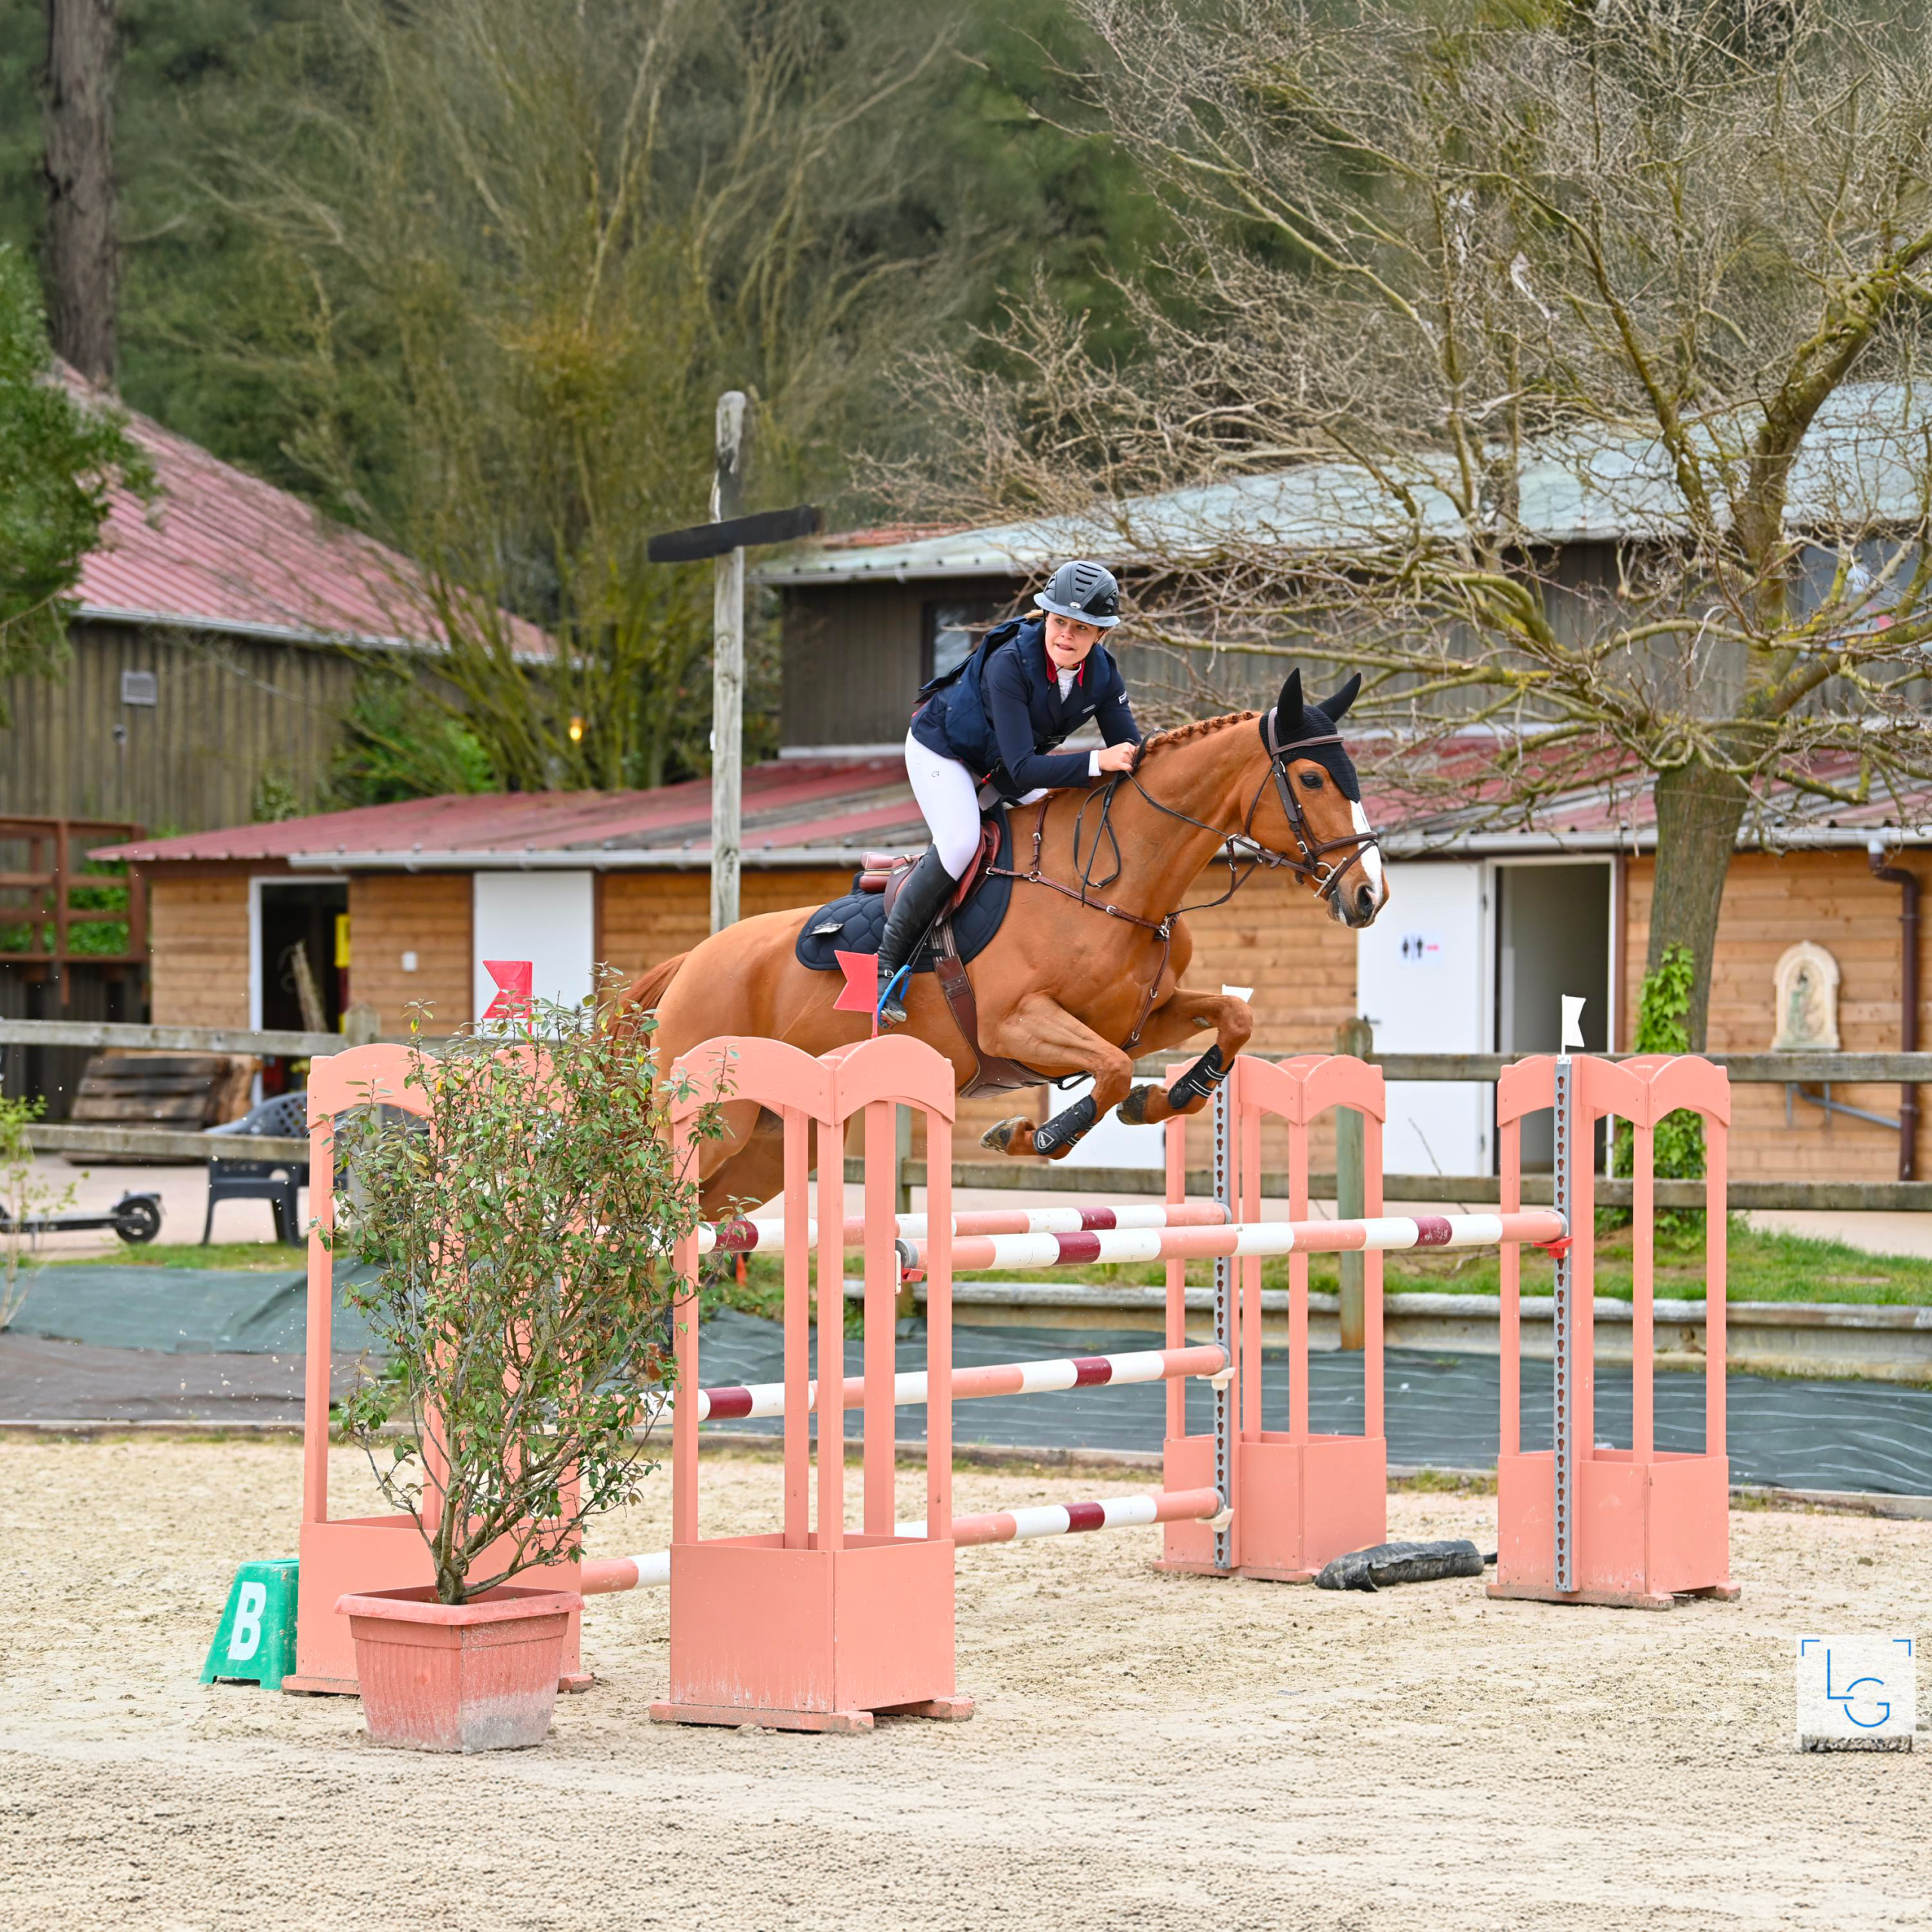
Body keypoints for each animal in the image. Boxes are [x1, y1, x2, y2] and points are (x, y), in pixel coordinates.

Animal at [621, 668, 1387, 1211]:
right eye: (1312, 777)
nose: (1369, 895)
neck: (1113, 884)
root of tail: (691, 962)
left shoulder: (1141, 1018)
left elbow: (1233, 1018)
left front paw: (1165, 1100)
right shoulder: (1017, 1024)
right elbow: (1109, 1072)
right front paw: (1037, 1133)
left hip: (762, 1148)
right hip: (708, 1122)